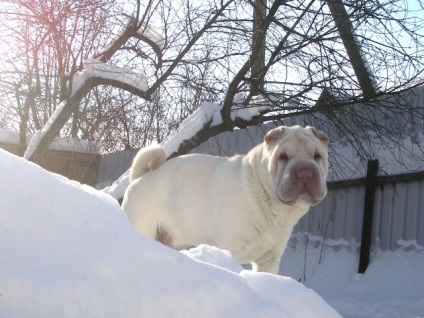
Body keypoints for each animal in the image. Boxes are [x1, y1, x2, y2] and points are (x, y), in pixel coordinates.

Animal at [121, 125, 330, 274]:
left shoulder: (270, 260)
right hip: (143, 227)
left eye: (317, 156)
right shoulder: (231, 248)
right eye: (283, 156)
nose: (305, 171)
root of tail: (140, 176)